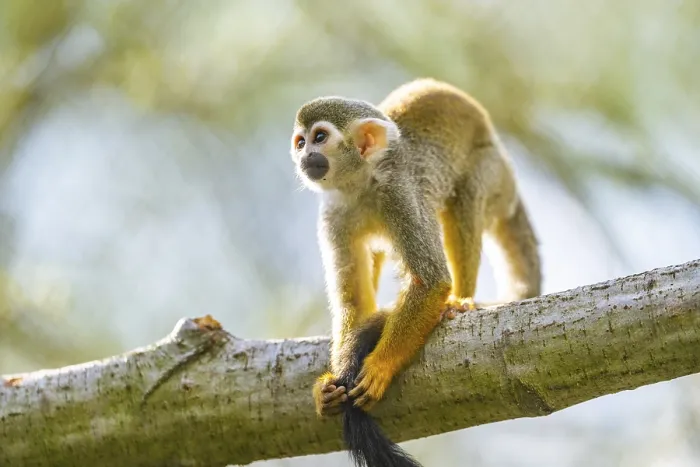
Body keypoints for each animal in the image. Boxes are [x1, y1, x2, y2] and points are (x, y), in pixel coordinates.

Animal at [290, 78, 541, 467]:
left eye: (319, 137)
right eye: (301, 142)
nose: (304, 157)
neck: (362, 183)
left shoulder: (399, 195)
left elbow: (432, 280)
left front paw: (381, 365)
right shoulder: (334, 213)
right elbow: (353, 302)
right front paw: (329, 386)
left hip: (495, 174)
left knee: (466, 197)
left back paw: (461, 300)